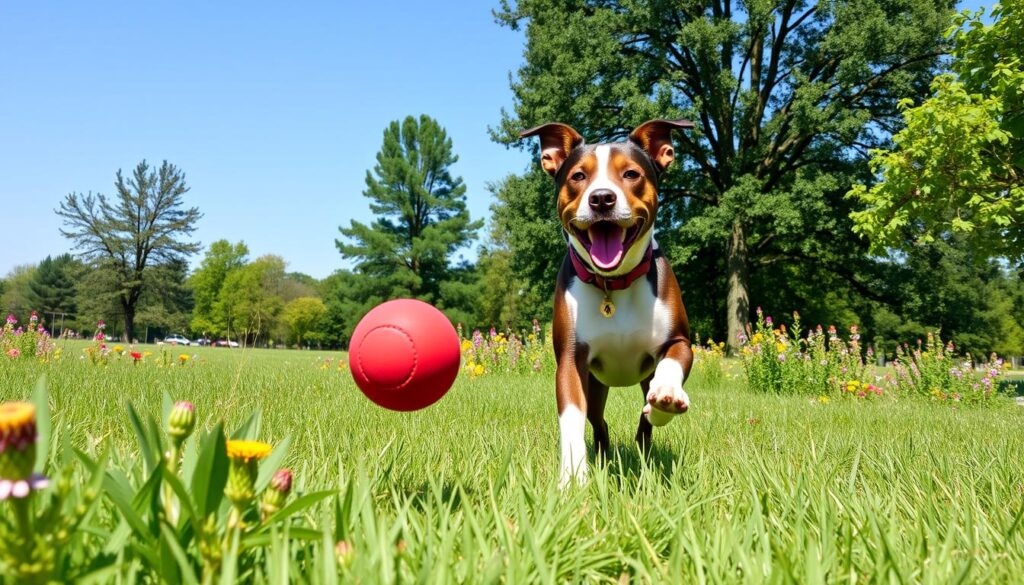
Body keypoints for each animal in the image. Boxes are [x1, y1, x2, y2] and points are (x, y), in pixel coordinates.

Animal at [520, 117, 696, 485]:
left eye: (631, 173)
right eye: (578, 176)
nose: (602, 198)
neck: (613, 283)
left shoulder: (679, 341)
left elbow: (671, 366)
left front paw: (667, 397)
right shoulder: (571, 360)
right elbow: (572, 419)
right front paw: (572, 478)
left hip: (640, 379)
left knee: (643, 422)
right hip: (596, 387)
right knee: (598, 422)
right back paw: (602, 453)